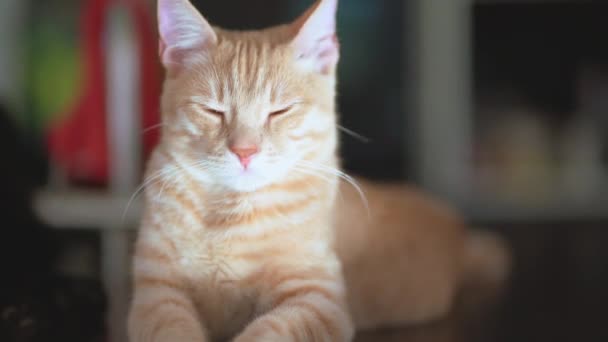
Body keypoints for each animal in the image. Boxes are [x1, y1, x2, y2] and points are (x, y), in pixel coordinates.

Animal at [128, 0, 508, 340]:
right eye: (213, 110)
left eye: (279, 111)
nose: (245, 151)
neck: (230, 214)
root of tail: (458, 232)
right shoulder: (156, 296)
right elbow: (171, 330)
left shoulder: (319, 301)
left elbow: (269, 331)